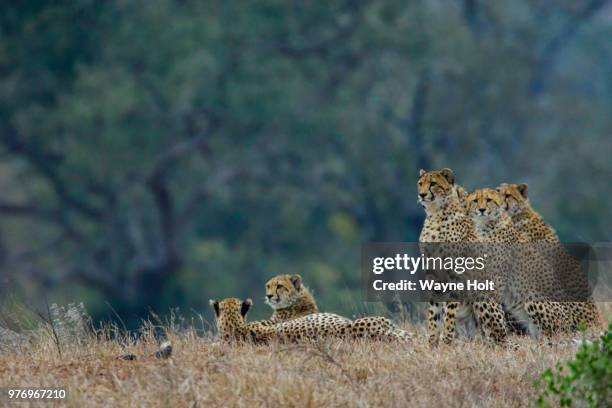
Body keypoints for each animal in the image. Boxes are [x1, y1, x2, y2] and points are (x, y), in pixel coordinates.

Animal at [418, 167, 510, 346]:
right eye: (420, 183)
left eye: (433, 184)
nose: (422, 194)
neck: (435, 215)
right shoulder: (432, 274)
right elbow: (433, 313)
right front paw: (432, 343)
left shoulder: (455, 274)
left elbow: (448, 313)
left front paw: (446, 342)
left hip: (482, 295)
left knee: (494, 336)